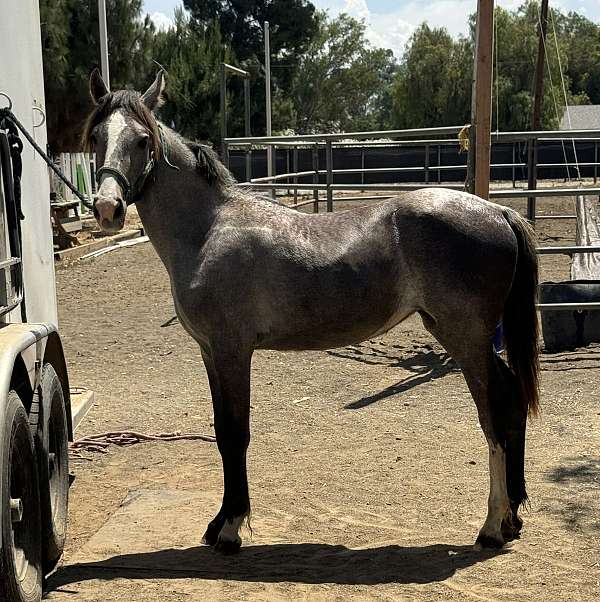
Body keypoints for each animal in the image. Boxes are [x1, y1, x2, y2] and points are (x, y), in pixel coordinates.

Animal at [84, 70, 540, 552]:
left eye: (141, 140)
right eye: (96, 137)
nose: (108, 209)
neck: (208, 228)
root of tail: (497, 210)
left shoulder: (231, 352)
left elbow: (235, 433)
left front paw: (230, 527)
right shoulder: (210, 353)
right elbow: (222, 431)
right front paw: (219, 521)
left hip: (466, 339)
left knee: (494, 415)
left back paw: (492, 526)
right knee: (512, 403)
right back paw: (511, 519)